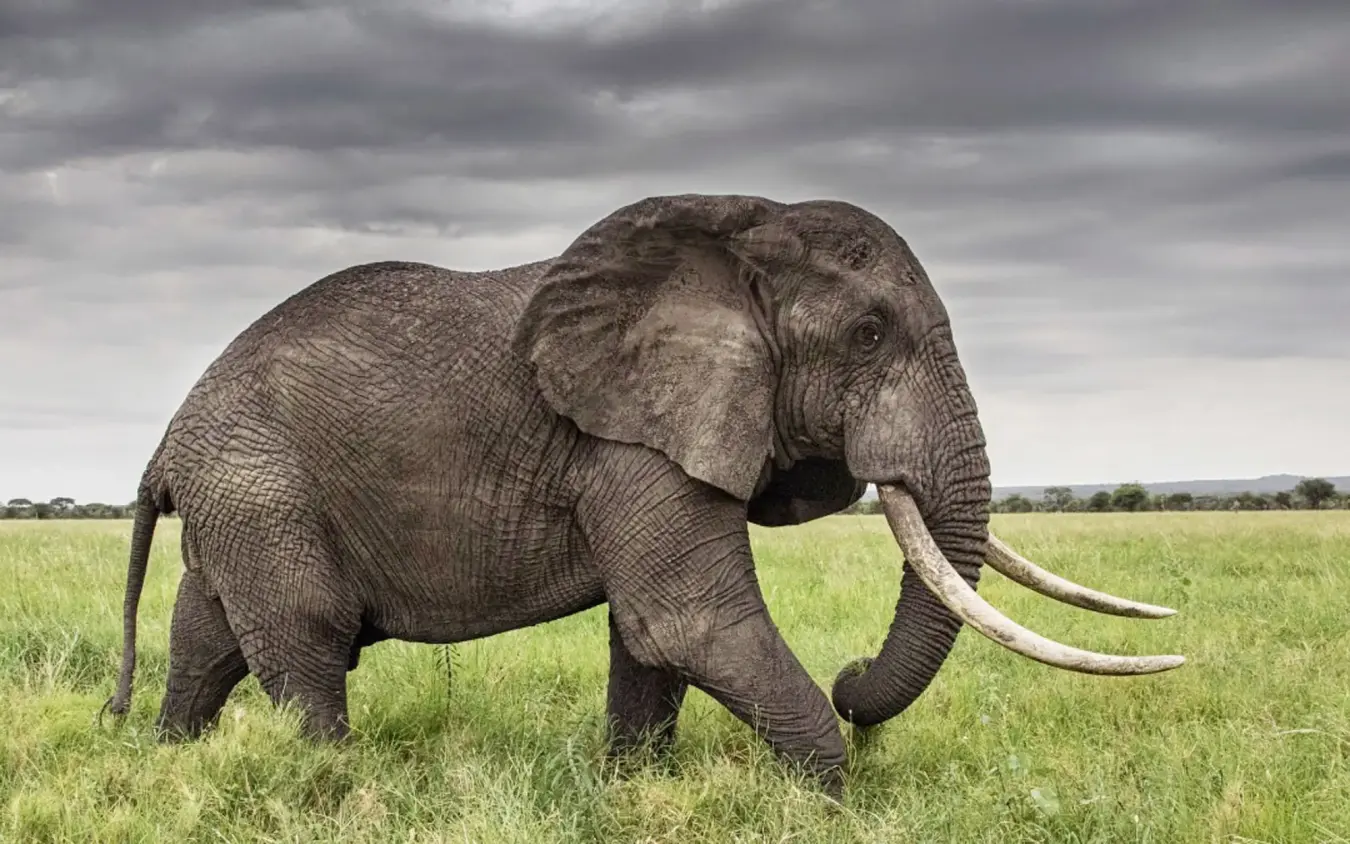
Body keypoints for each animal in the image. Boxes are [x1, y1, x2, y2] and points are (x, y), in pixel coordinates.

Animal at [102, 193, 1183, 797]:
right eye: (870, 335)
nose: (853, 675)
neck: (735, 248)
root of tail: (168, 439)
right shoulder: (628, 439)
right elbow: (688, 620)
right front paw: (830, 807)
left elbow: (650, 634)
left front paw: (630, 791)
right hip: (259, 484)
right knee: (306, 638)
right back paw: (323, 789)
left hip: (241, 494)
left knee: (208, 637)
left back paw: (166, 766)